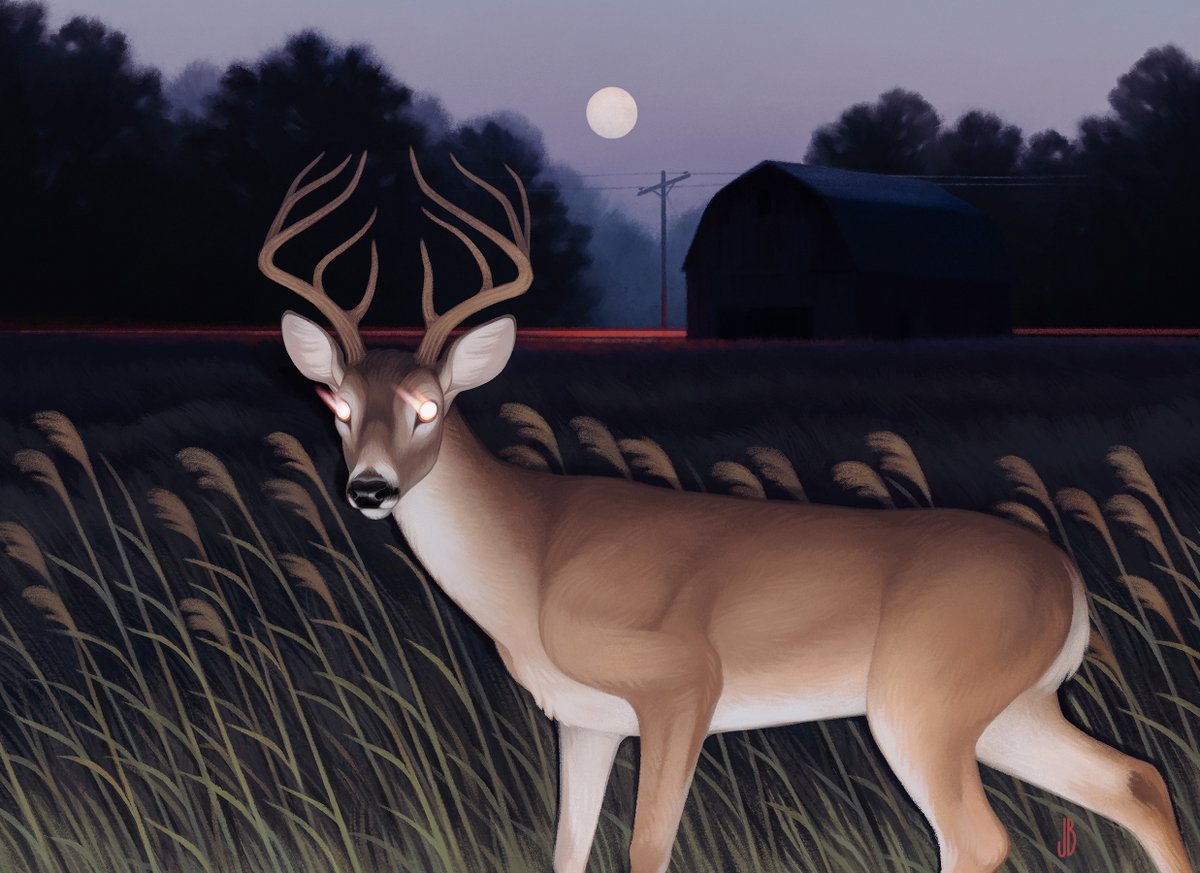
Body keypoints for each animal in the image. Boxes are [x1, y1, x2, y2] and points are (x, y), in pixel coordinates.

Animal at [259, 149, 1194, 873]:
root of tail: (1070, 579)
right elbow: (567, 850)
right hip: (1010, 709)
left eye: (428, 406)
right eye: (337, 405)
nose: (368, 487)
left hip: (923, 701)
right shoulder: (586, 720)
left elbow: (647, 848)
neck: (534, 555)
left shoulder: (681, 682)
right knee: (1138, 780)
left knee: (980, 836)